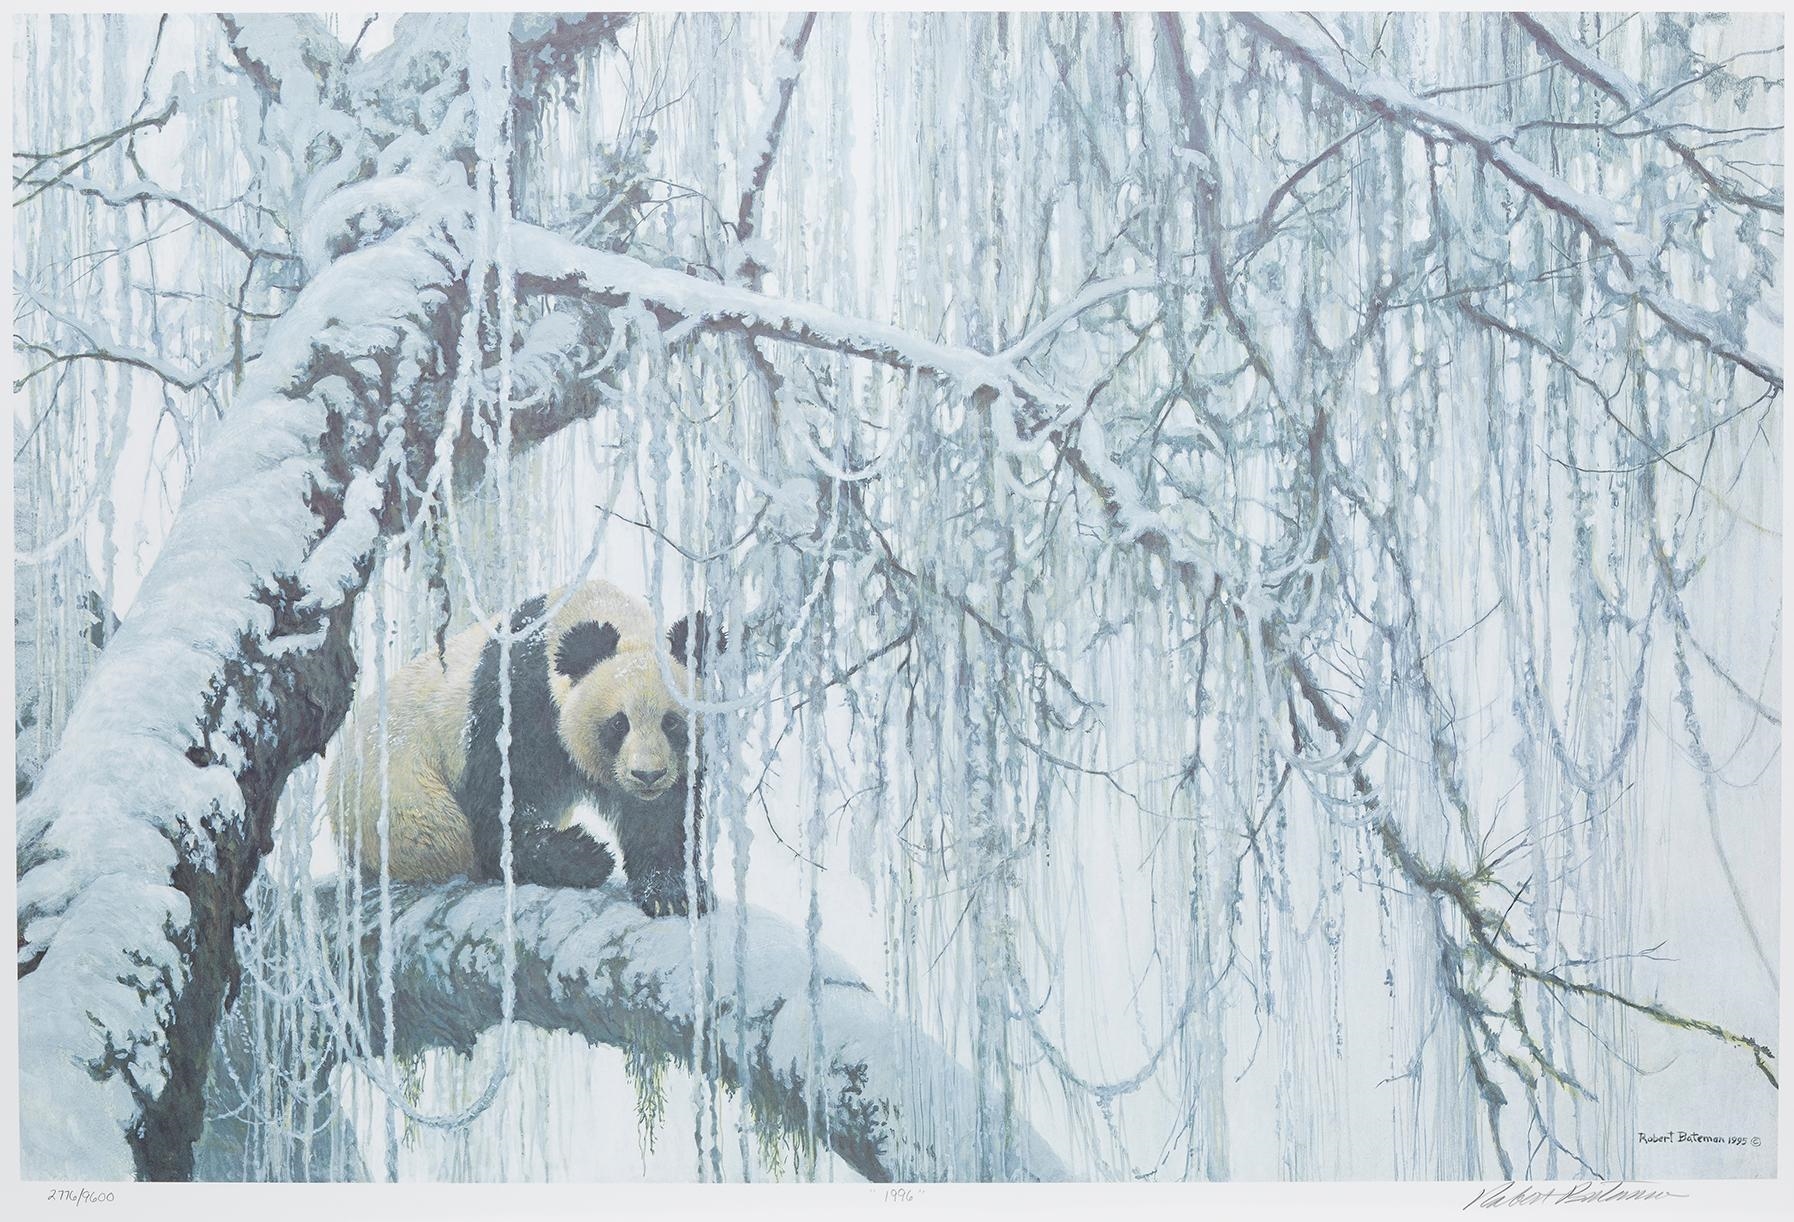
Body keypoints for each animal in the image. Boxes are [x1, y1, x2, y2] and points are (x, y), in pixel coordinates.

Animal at [328, 580, 719, 916]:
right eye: (619, 723)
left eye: (671, 723)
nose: (647, 775)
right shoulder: (518, 701)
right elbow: (499, 810)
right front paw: (585, 853)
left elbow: (661, 818)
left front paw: (671, 892)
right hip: (396, 790)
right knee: (440, 835)